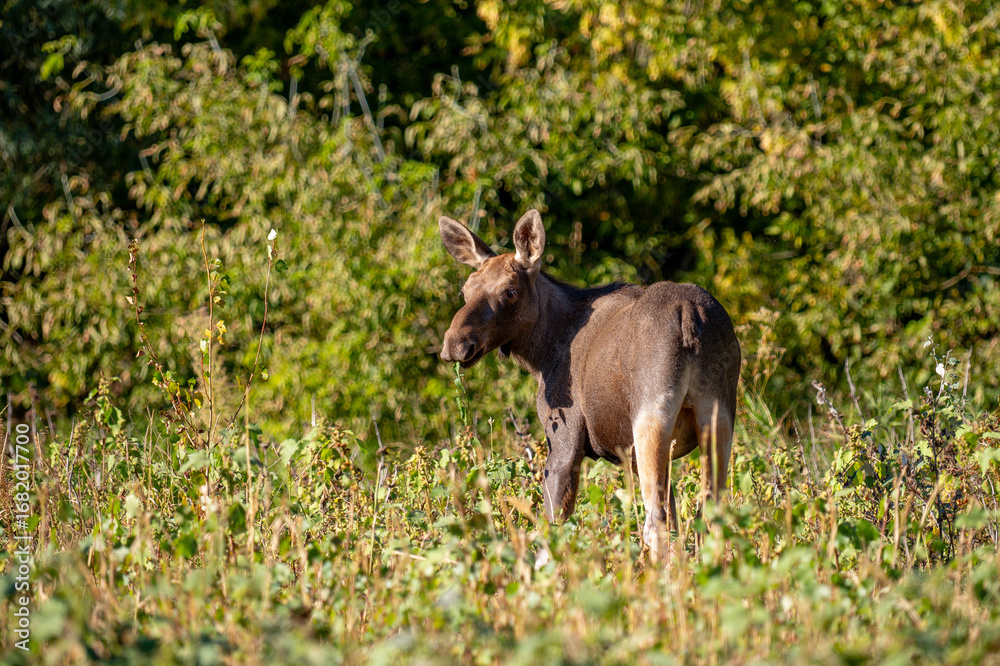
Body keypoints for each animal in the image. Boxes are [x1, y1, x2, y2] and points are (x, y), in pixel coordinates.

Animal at [438, 209, 741, 562]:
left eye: (509, 291)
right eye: (465, 290)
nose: (455, 343)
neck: (541, 352)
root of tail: (688, 315)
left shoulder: (564, 437)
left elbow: (551, 530)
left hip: (651, 416)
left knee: (656, 520)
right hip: (719, 415)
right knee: (710, 513)